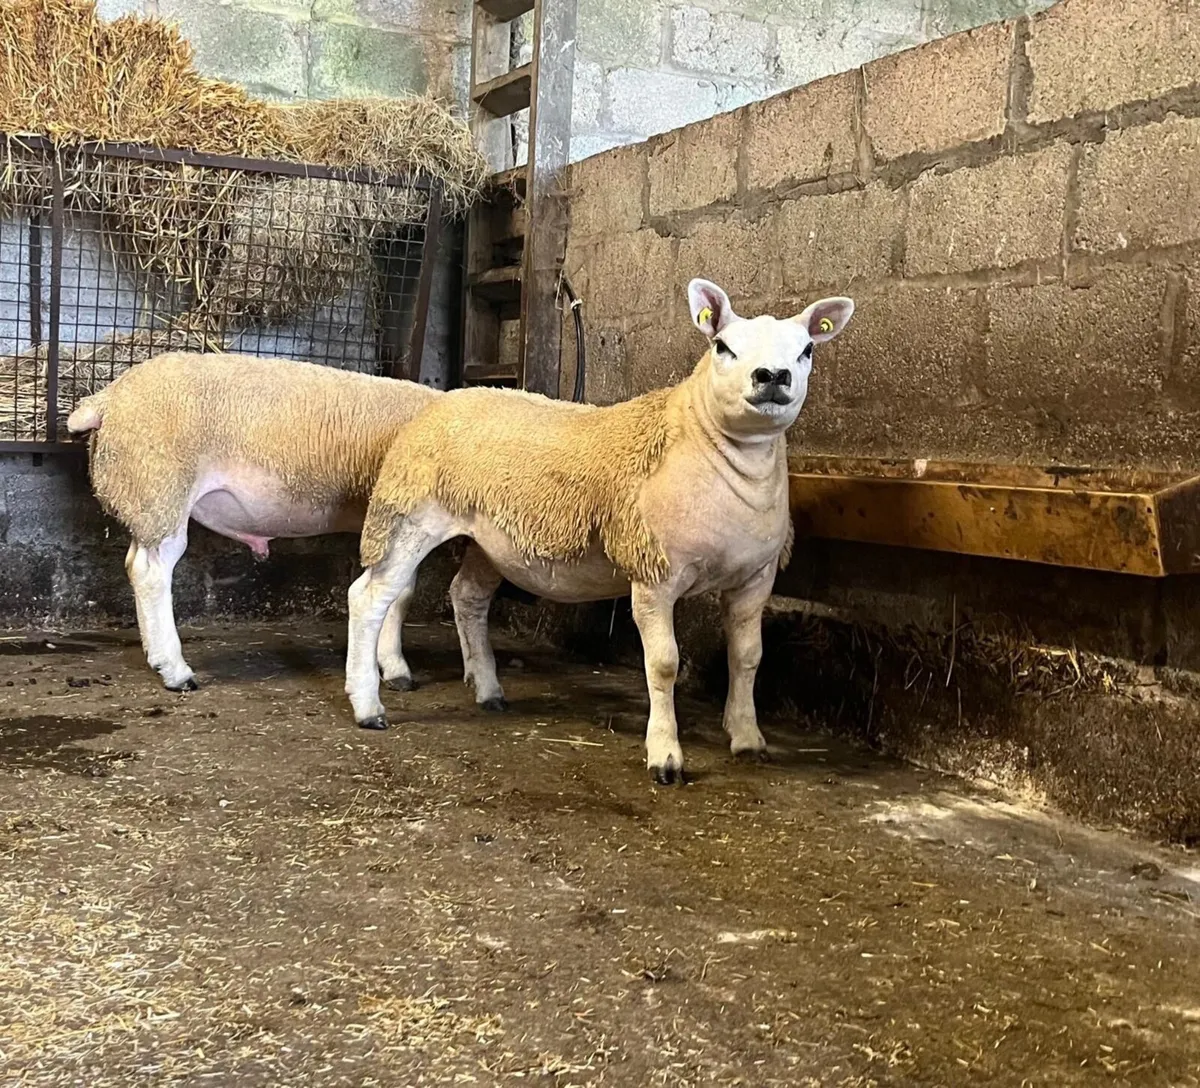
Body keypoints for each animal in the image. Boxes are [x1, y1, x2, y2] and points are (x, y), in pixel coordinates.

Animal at [67, 351, 440, 694]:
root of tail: (105, 399)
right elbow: (398, 593)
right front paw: (395, 665)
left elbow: (400, 591)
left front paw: (390, 664)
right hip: (161, 490)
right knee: (153, 574)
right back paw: (175, 670)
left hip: (143, 500)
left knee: (135, 563)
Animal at [343, 278, 854, 783]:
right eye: (722, 346)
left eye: (807, 349)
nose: (772, 376)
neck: (706, 441)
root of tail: (446, 399)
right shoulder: (653, 573)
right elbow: (663, 665)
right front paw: (665, 755)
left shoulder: (755, 578)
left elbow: (748, 657)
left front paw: (747, 738)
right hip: (408, 512)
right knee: (371, 597)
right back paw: (369, 705)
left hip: (488, 542)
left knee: (466, 596)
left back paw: (488, 690)